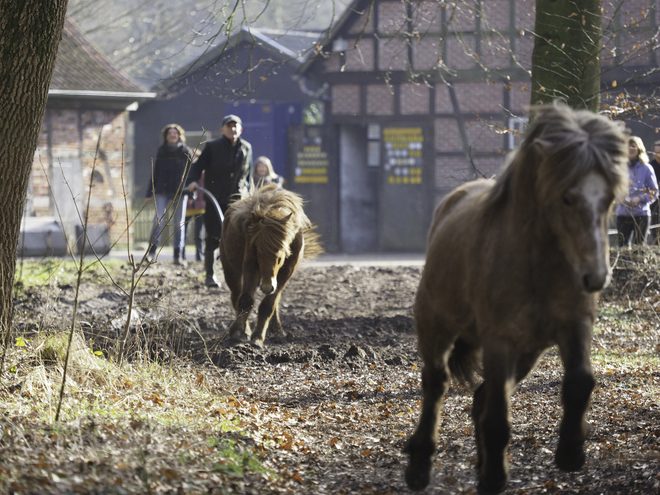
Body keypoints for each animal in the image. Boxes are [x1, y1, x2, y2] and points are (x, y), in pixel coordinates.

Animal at [220, 183, 320, 348]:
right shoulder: (250, 265)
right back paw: (245, 330)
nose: (267, 287)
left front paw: (258, 338)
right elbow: (246, 300)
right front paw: (238, 334)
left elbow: (269, 304)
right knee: (236, 295)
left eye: (281, 256)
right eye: (257, 252)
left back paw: (276, 330)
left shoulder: (285, 272)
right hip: (230, 269)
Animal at [404, 102, 628, 494]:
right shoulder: (499, 342)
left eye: (609, 198)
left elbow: (580, 381)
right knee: (436, 385)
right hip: (436, 328)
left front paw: (571, 453)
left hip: (527, 355)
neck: (537, 265)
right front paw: (496, 477)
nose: (595, 277)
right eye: (566, 197)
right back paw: (420, 466)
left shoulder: (574, 327)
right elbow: (497, 417)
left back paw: (481, 465)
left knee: (481, 398)